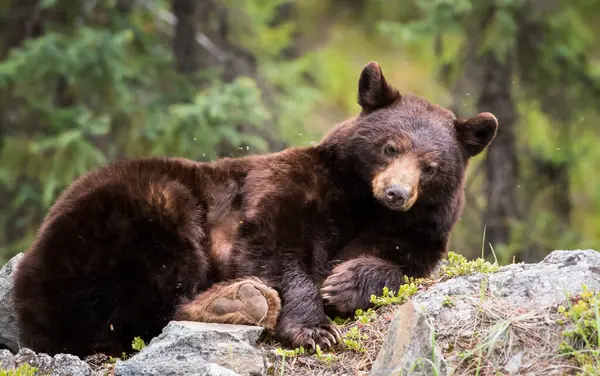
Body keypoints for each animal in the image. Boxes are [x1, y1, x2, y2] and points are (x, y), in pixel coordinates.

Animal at [12, 60, 496, 356]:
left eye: (431, 166)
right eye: (389, 146)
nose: (396, 192)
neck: (361, 204)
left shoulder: (417, 234)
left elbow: (401, 264)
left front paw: (345, 283)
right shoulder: (282, 186)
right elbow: (272, 244)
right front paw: (315, 327)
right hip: (139, 207)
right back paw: (233, 300)